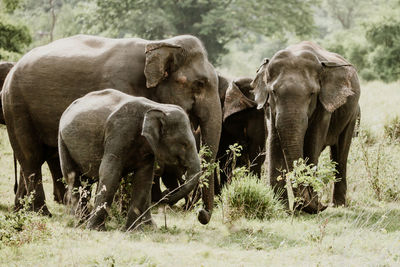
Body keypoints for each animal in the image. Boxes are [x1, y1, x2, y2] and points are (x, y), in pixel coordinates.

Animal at [58, 89, 203, 231]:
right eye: (184, 144)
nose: (166, 194)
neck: (157, 107)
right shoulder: (119, 133)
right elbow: (110, 173)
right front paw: (95, 229)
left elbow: (143, 179)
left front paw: (133, 230)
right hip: (62, 140)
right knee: (72, 176)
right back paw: (81, 222)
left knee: (86, 182)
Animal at [252, 42, 360, 214]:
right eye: (273, 92)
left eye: (312, 93)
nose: (321, 204)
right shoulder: (269, 108)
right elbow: (274, 142)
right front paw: (282, 209)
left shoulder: (324, 105)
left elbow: (313, 141)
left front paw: (304, 207)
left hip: (352, 113)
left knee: (341, 151)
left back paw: (338, 205)